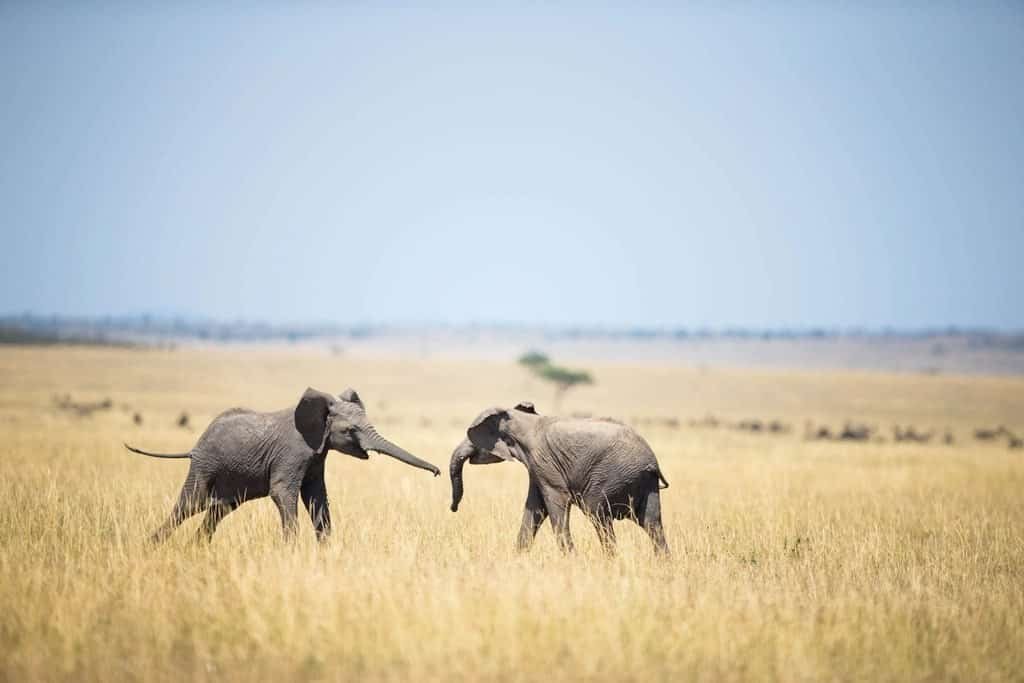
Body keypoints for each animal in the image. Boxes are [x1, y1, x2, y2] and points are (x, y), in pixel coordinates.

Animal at [125, 387, 440, 544]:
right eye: (350, 430)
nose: (437, 472)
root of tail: (193, 448)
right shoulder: (293, 452)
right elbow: (282, 492)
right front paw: (291, 551)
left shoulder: (316, 456)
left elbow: (316, 497)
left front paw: (326, 549)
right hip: (205, 466)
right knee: (189, 505)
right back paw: (152, 546)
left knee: (219, 509)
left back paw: (197, 548)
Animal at [450, 402, 670, 555]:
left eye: (473, 439)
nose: (453, 509)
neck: (522, 420)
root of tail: (652, 463)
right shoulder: (537, 468)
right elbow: (535, 509)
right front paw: (517, 558)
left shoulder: (544, 462)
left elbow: (555, 504)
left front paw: (571, 559)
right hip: (645, 483)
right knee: (652, 523)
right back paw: (662, 564)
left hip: (611, 477)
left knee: (598, 515)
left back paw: (611, 560)